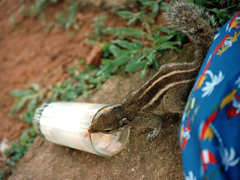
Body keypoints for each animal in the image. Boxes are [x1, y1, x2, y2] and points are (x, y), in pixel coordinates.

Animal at [87, 0, 219, 141]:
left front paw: (153, 133)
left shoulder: (145, 119)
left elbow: (156, 123)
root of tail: (193, 68)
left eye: (108, 130)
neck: (125, 111)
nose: (89, 130)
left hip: (171, 99)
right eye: (100, 116)